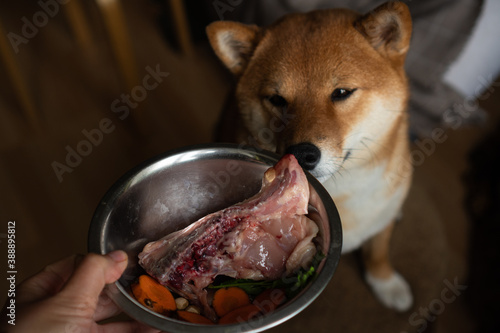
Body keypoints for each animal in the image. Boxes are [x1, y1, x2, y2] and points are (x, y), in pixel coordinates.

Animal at [207, 1, 414, 310]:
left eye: (342, 92)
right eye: (277, 99)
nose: (302, 153)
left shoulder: (383, 213)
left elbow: (378, 250)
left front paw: (386, 282)